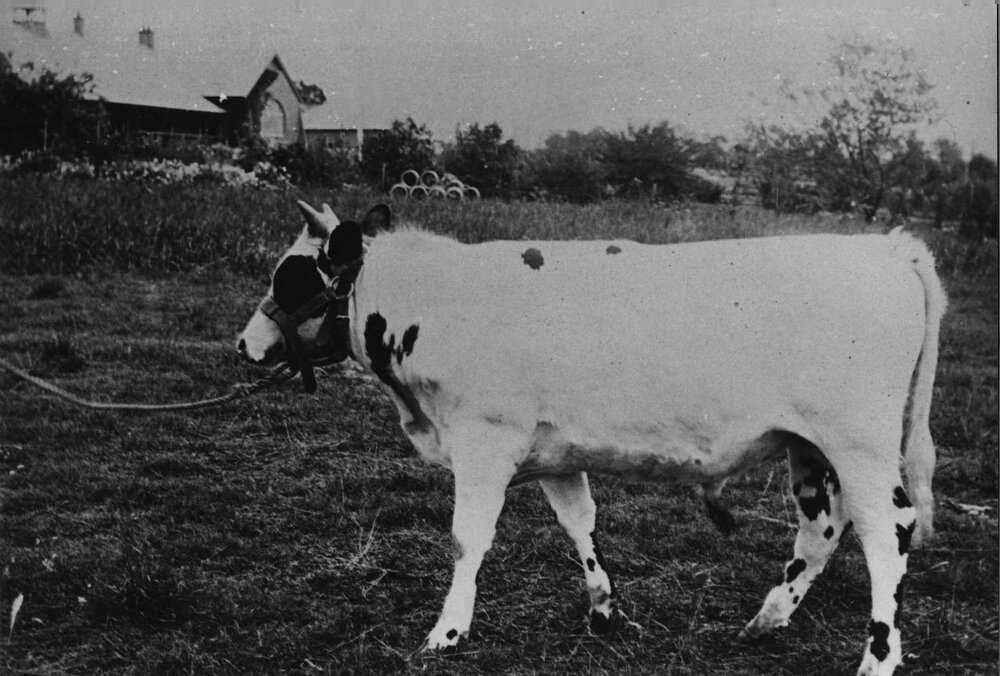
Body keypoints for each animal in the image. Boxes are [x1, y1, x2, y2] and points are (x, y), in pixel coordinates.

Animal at [237, 200, 947, 676]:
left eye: (291, 277)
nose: (244, 345)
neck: (436, 305)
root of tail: (887, 248)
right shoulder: (553, 451)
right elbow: (580, 524)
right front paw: (605, 609)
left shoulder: (483, 443)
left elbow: (468, 539)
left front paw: (447, 632)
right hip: (811, 448)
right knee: (821, 527)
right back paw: (766, 620)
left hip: (860, 443)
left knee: (887, 533)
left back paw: (878, 657)